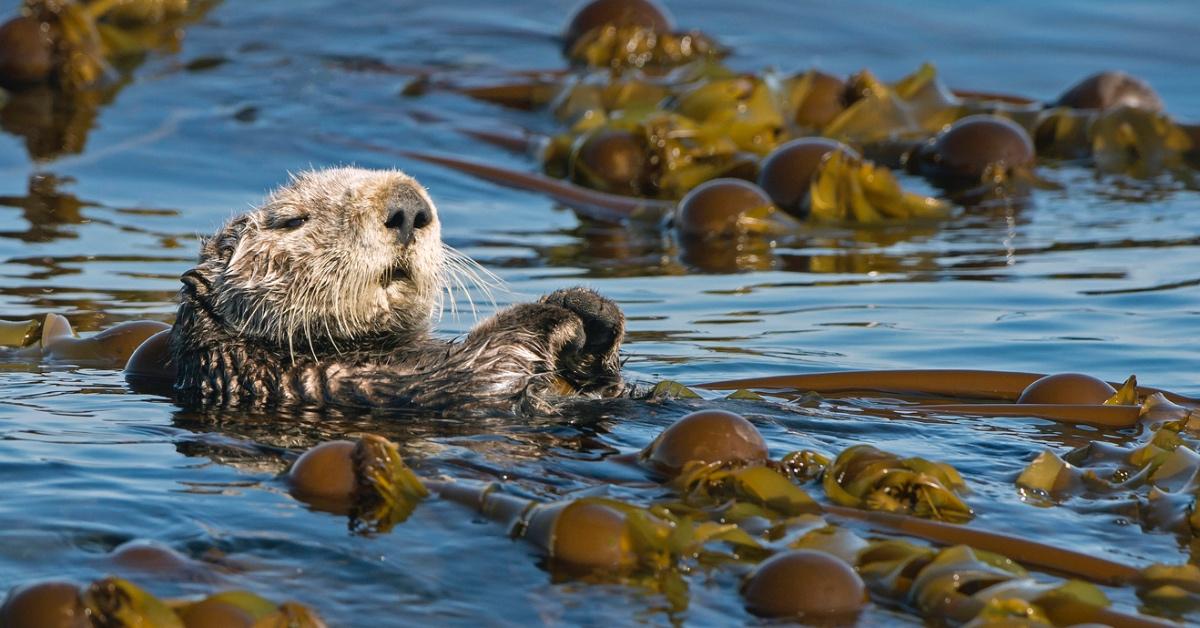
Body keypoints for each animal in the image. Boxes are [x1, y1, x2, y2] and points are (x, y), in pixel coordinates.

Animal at [172, 168, 624, 413]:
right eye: (290, 220)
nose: (407, 208)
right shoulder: (341, 384)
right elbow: (482, 371)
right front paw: (554, 317)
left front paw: (589, 308)